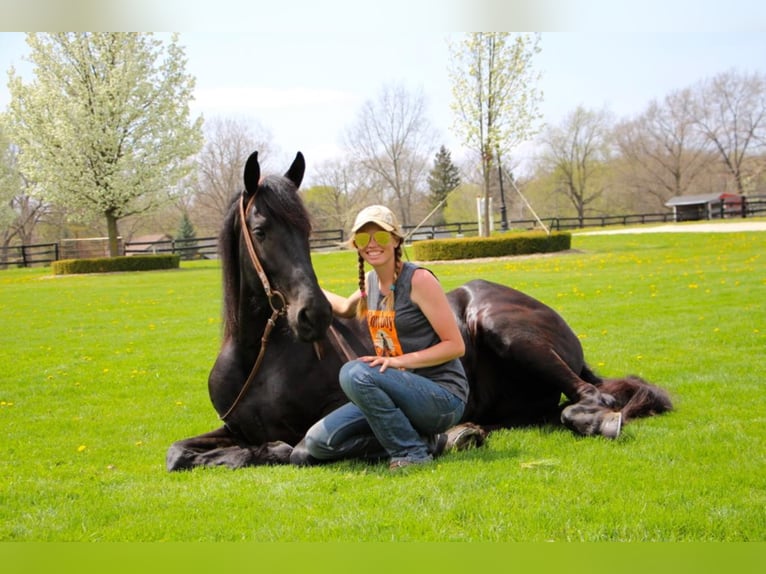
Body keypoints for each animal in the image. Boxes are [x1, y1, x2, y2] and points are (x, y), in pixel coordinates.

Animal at [166, 152, 672, 472]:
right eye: (260, 229)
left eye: (308, 230)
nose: (314, 315)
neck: (261, 358)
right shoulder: (232, 428)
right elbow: (177, 453)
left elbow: (296, 448)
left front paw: (449, 436)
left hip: (511, 333)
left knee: (594, 398)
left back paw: (593, 420)